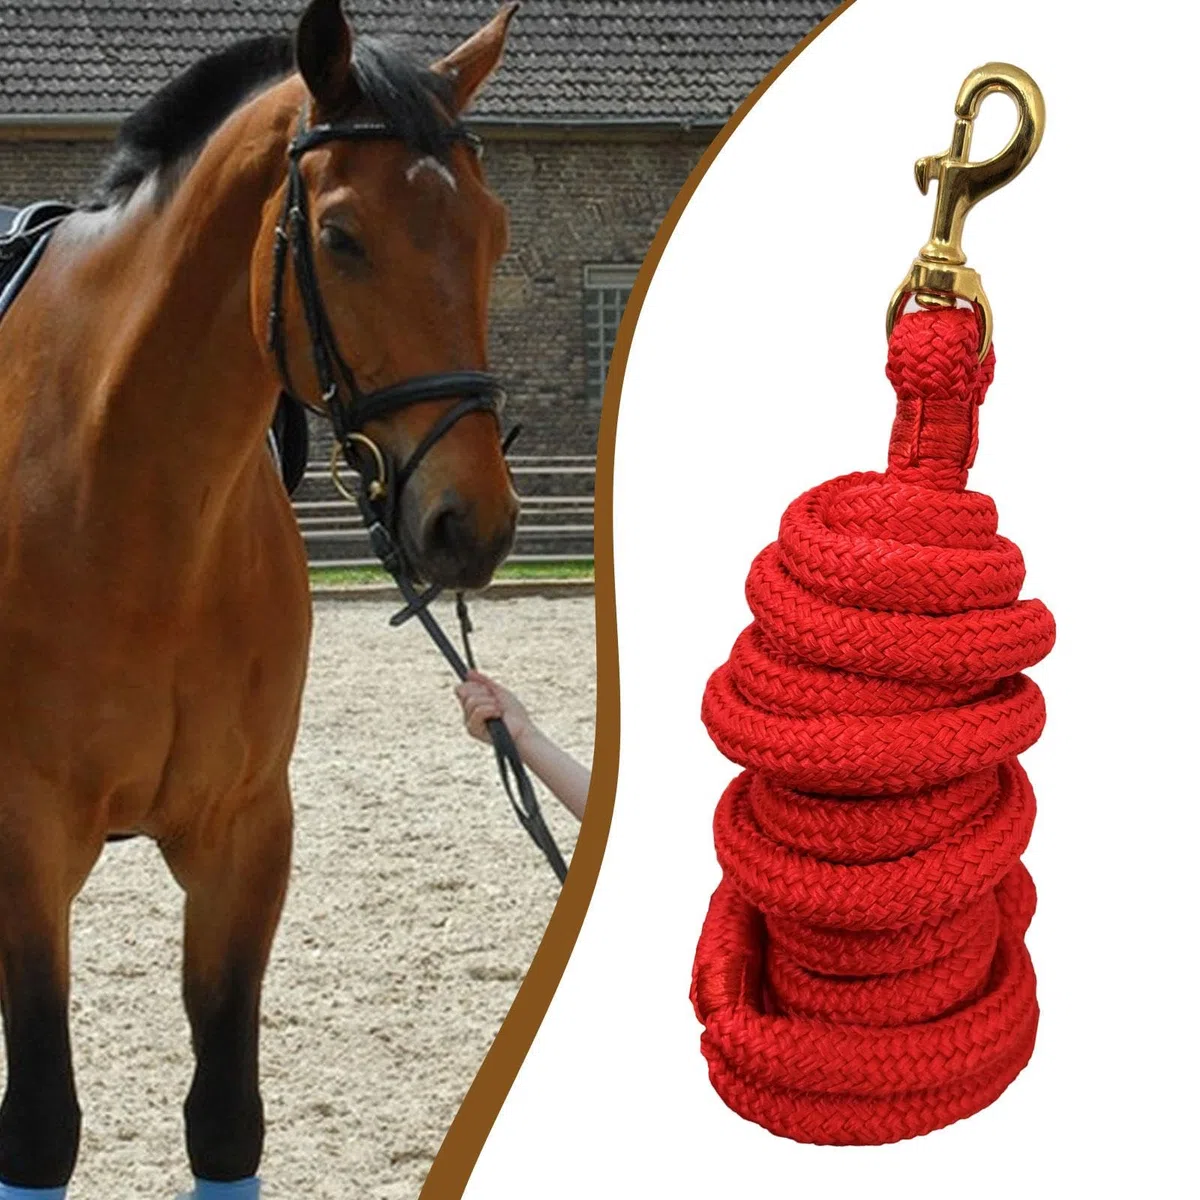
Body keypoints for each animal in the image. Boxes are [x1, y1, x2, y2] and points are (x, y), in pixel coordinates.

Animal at [0, 1, 519, 1195]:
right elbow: (40, 1121)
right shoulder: (23, 834)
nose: (470, 525)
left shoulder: (244, 833)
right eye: (340, 236)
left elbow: (227, 1115)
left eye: (494, 232)